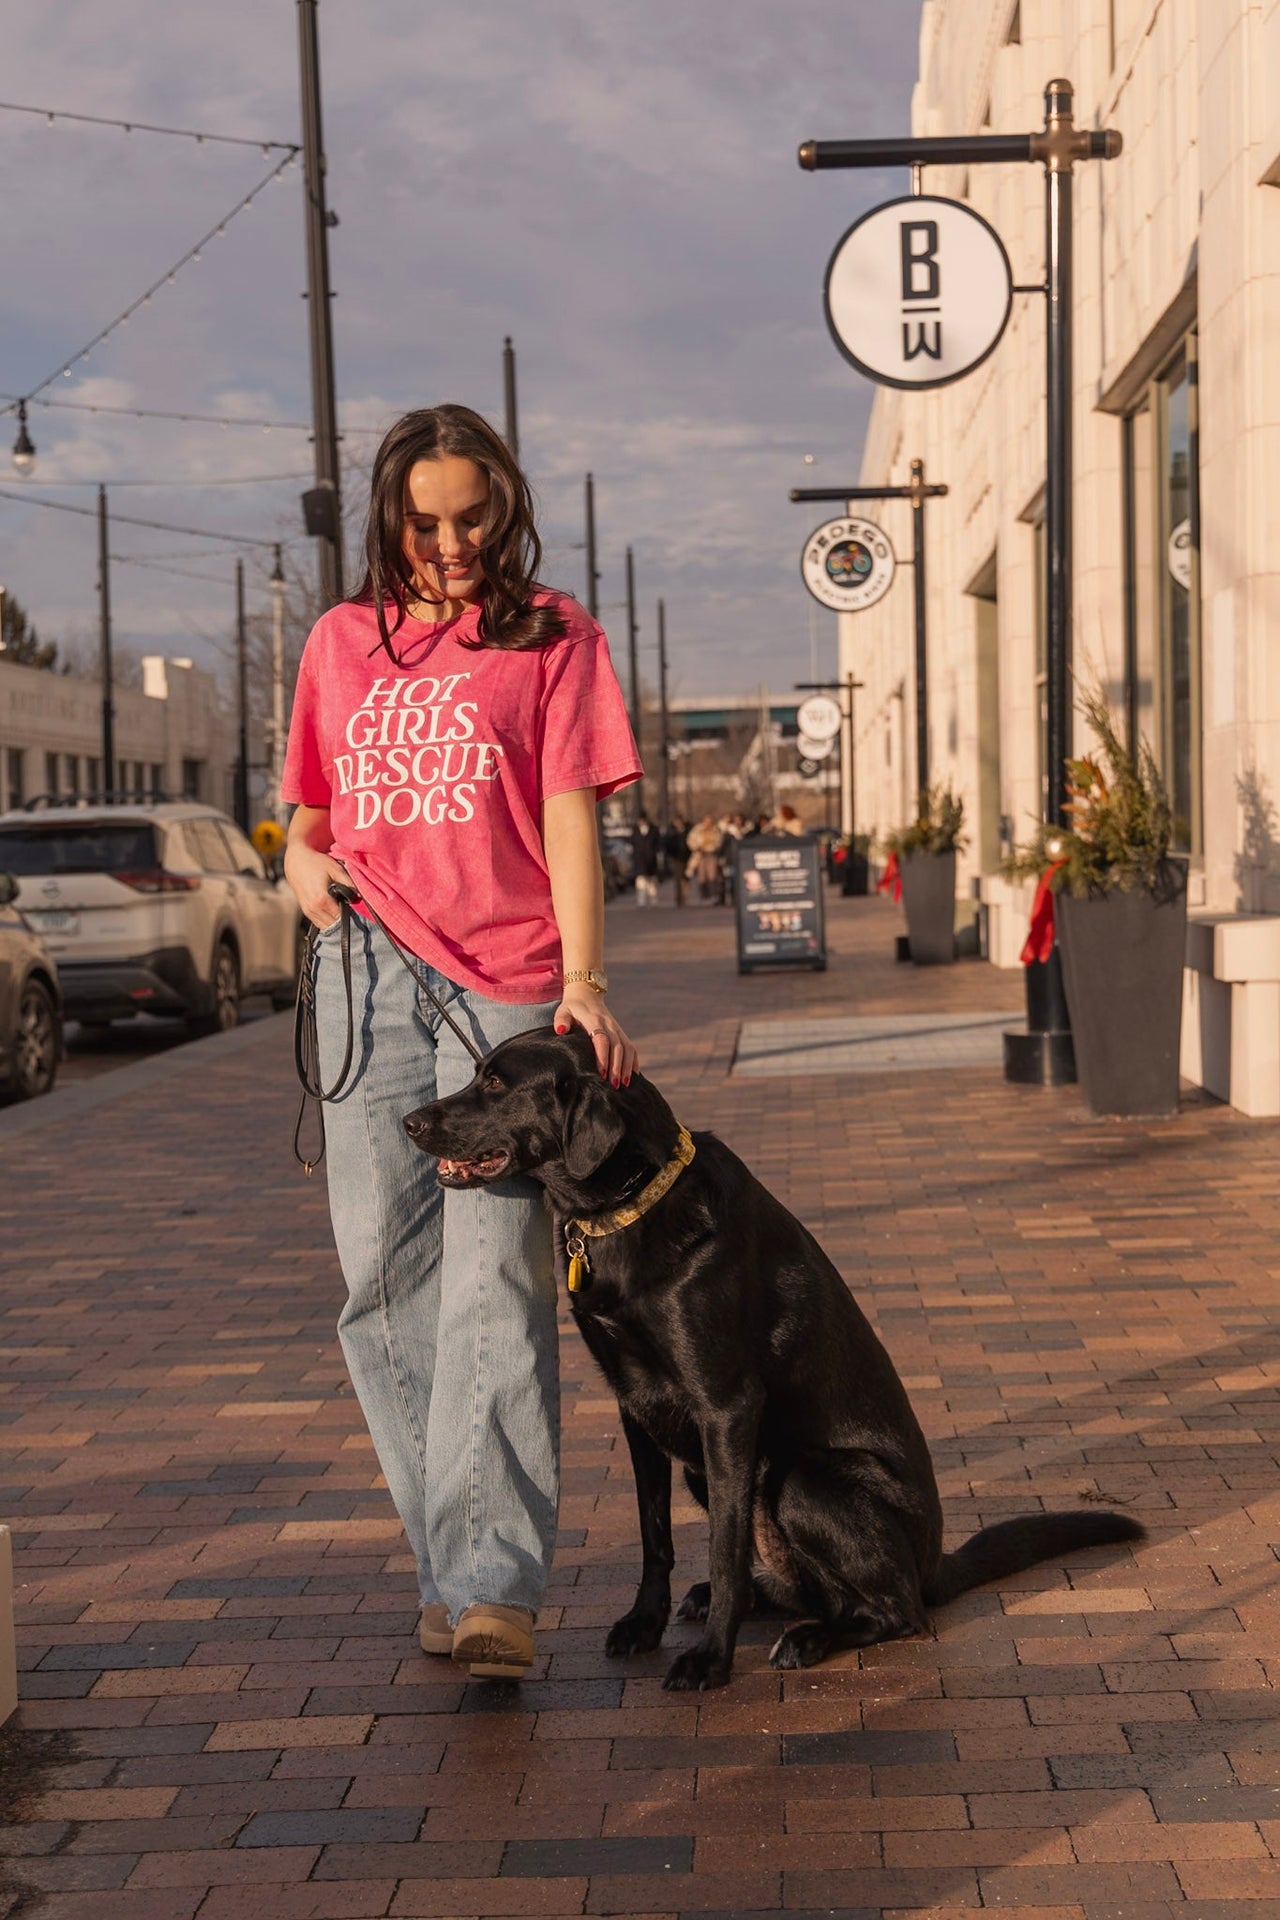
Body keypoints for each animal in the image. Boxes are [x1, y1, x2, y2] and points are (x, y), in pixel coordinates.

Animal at [404, 1029, 1143, 1689]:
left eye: (495, 1084)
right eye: (477, 1075)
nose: (408, 1122)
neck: (630, 1206)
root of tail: (936, 1562)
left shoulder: (727, 1408)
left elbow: (725, 1548)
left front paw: (711, 1661)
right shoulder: (635, 1408)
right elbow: (655, 1536)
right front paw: (645, 1623)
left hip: (802, 1478)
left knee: (897, 1611)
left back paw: (809, 1637)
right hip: (708, 1470)